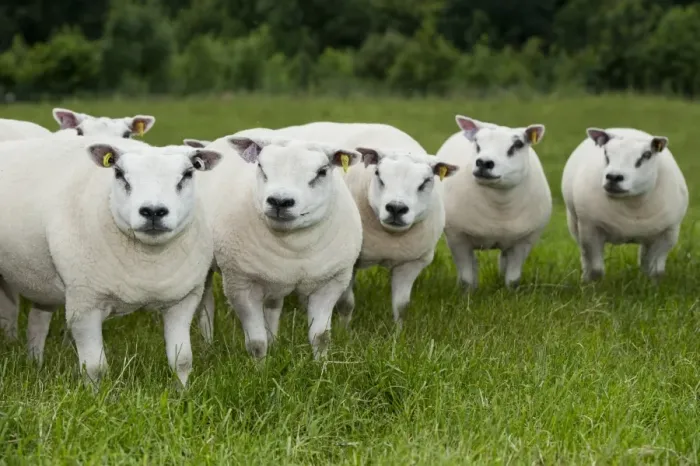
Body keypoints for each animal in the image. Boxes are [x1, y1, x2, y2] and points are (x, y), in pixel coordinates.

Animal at [0, 135, 222, 385]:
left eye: (188, 173)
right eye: (119, 173)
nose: (153, 211)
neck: (149, 261)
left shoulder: (183, 300)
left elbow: (182, 360)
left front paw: (182, 391)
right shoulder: (85, 304)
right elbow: (94, 368)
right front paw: (95, 394)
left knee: (37, 321)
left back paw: (35, 363)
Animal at [194, 131, 363, 359]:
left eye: (322, 171)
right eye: (260, 167)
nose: (280, 201)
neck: (294, 246)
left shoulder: (331, 283)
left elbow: (321, 338)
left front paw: (321, 365)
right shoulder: (240, 284)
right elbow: (256, 343)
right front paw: (260, 367)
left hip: (274, 275)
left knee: (272, 307)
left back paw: (274, 340)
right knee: (206, 307)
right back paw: (208, 344)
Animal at [269, 122, 459, 328]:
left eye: (426, 182)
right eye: (378, 175)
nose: (396, 208)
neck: (389, 238)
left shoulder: (411, 263)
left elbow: (402, 306)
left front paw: (399, 331)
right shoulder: (348, 263)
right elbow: (346, 303)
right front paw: (344, 329)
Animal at [437, 115, 552, 290]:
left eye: (517, 145)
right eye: (477, 143)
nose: (484, 163)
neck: (500, 206)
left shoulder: (525, 240)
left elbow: (513, 279)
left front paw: (510, 292)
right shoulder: (457, 237)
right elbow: (466, 278)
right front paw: (467, 294)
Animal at [561, 127, 688, 281]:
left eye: (646, 155)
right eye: (606, 153)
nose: (613, 177)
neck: (632, 205)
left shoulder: (668, 234)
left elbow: (656, 271)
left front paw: (651, 285)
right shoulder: (590, 229)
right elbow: (596, 269)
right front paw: (591, 285)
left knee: (645, 260)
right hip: (574, 223)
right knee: (585, 257)